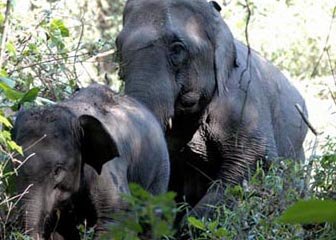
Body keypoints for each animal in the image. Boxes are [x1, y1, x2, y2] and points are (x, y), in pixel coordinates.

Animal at [13, 83, 171, 239]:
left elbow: (116, 217)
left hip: (160, 171)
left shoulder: (107, 169)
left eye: (57, 170)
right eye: (14, 166)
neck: (73, 113)